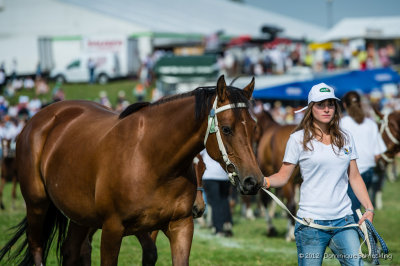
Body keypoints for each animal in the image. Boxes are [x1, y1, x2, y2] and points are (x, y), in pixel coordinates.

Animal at [0, 75, 262, 266]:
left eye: (255, 127)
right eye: (226, 129)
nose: (254, 181)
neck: (151, 159)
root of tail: (42, 117)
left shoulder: (178, 226)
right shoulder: (112, 230)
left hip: (80, 216)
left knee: (71, 251)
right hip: (37, 204)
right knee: (37, 247)